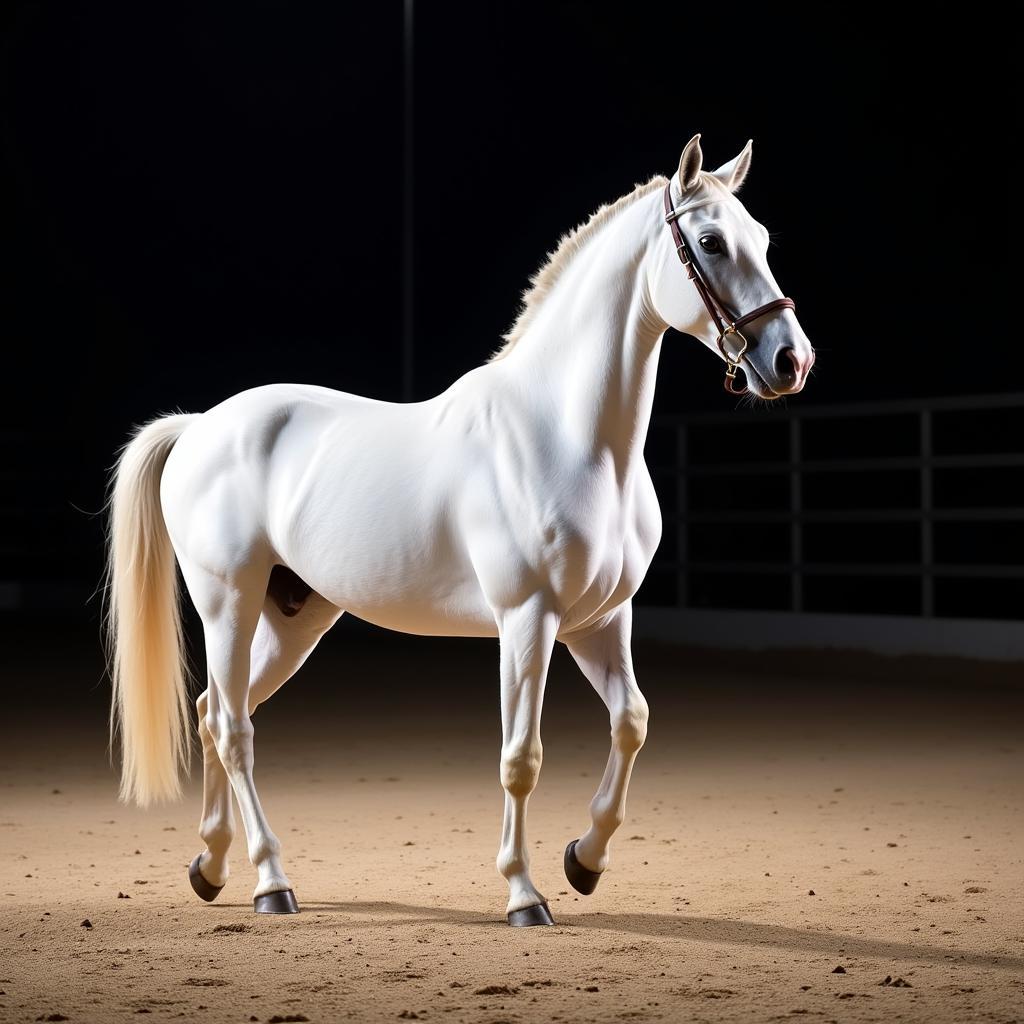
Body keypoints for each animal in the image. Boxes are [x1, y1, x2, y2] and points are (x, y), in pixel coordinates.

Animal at [108, 132, 815, 925]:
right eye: (712, 242)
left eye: (761, 238)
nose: (791, 361)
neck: (569, 437)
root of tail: (199, 425)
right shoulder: (527, 620)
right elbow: (521, 758)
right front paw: (525, 894)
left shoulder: (600, 620)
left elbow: (631, 722)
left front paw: (585, 860)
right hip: (227, 604)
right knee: (234, 730)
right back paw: (270, 883)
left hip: (294, 618)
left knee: (211, 713)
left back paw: (211, 866)